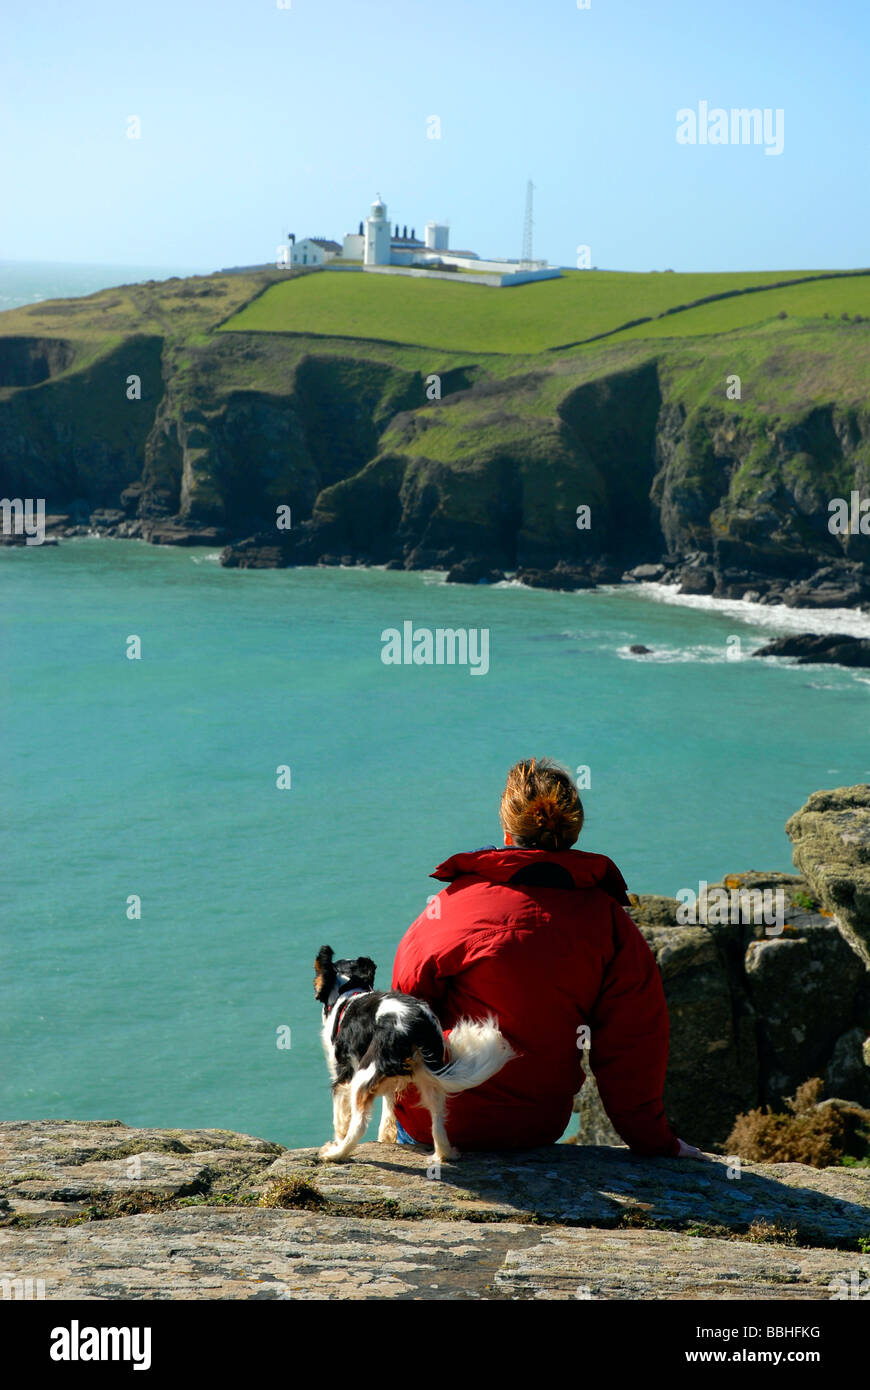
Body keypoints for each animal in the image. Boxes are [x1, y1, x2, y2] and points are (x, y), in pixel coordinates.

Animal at [312, 945, 511, 1162]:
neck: (349, 992)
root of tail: (414, 1023)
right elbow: (389, 1104)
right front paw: (386, 1136)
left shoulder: (343, 1074)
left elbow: (341, 1117)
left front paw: (338, 1140)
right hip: (428, 1078)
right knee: (437, 1117)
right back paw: (444, 1154)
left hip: (363, 1075)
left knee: (359, 1125)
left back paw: (335, 1154)